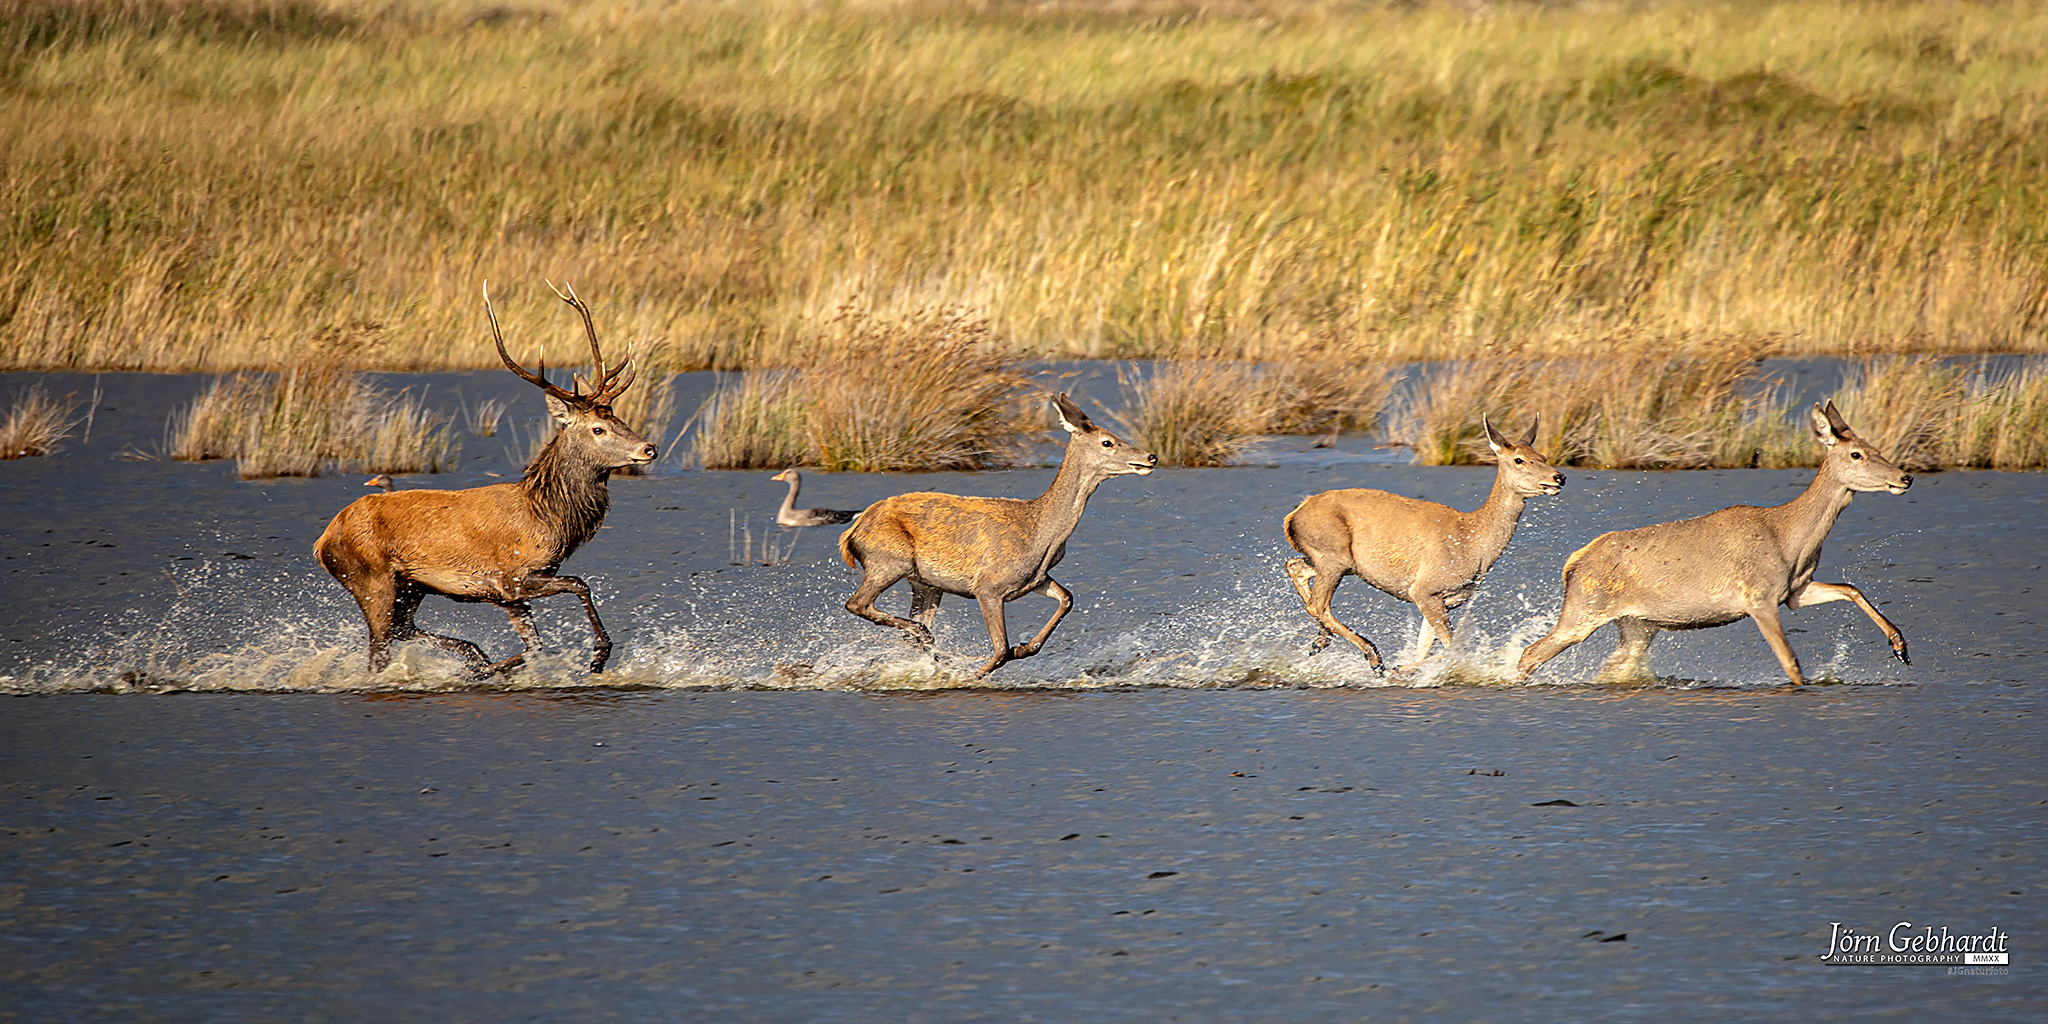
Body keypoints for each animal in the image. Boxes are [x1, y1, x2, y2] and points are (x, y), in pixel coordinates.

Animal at [311, 284, 655, 675]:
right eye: (598, 428)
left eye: (619, 419)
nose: (649, 448)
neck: (550, 518)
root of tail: (322, 542)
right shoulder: (512, 577)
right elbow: (580, 584)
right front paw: (599, 655)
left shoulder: (507, 595)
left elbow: (535, 647)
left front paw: (481, 669)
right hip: (370, 578)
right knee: (379, 648)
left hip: (412, 586)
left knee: (402, 629)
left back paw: (472, 656)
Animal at [831, 395, 1155, 675]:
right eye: (1107, 442)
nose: (1151, 457)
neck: (1041, 535)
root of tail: (849, 534)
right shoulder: (988, 585)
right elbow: (1000, 649)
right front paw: (974, 673)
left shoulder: (1034, 578)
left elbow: (1067, 597)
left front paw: (1024, 648)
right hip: (889, 559)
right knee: (857, 603)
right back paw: (929, 645)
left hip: (925, 582)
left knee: (910, 627)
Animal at [1277, 415, 1564, 671]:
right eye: (1519, 459)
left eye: (1543, 456)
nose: (1559, 477)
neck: (1473, 544)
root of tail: (1293, 515)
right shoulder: (1425, 588)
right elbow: (1455, 647)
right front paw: (1398, 668)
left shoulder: (1445, 598)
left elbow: (1425, 647)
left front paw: (1405, 670)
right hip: (1334, 556)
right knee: (1317, 603)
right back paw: (1372, 656)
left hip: (1330, 559)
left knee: (1296, 568)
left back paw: (1322, 640)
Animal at [1515, 401, 1908, 688]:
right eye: (1857, 454)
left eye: (1877, 448)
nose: (1905, 477)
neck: (1791, 541)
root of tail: (1572, 562)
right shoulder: (1758, 598)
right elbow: (1791, 663)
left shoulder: (1794, 591)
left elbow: (1850, 587)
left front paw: (1900, 646)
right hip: (1584, 610)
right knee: (1530, 652)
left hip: (1637, 625)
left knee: (1609, 668)